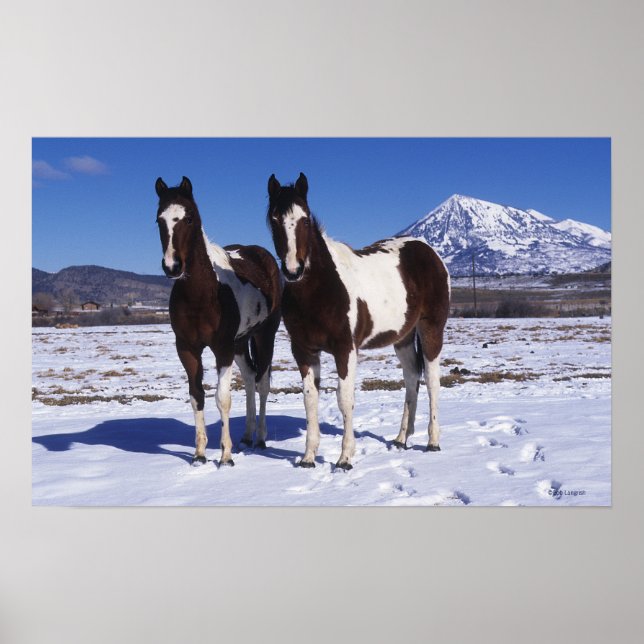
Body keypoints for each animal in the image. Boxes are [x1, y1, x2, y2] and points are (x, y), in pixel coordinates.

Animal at [155, 176, 281, 466]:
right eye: (159, 220)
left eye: (189, 218)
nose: (172, 266)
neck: (203, 294)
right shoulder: (187, 349)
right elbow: (197, 397)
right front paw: (200, 454)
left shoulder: (222, 348)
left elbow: (222, 398)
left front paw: (225, 456)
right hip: (241, 343)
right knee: (249, 378)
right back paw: (246, 436)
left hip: (264, 336)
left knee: (262, 384)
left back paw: (260, 438)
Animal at [266, 173, 450, 470]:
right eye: (274, 219)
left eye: (305, 219)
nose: (294, 270)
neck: (321, 288)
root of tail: (429, 252)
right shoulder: (304, 351)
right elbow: (310, 400)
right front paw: (308, 458)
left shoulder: (345, 349)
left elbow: (345, 399)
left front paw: (344, 458)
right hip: (403, 337)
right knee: (412, 378)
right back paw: (401, 438)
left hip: (431, 328)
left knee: (432, 381)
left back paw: (433, 442)